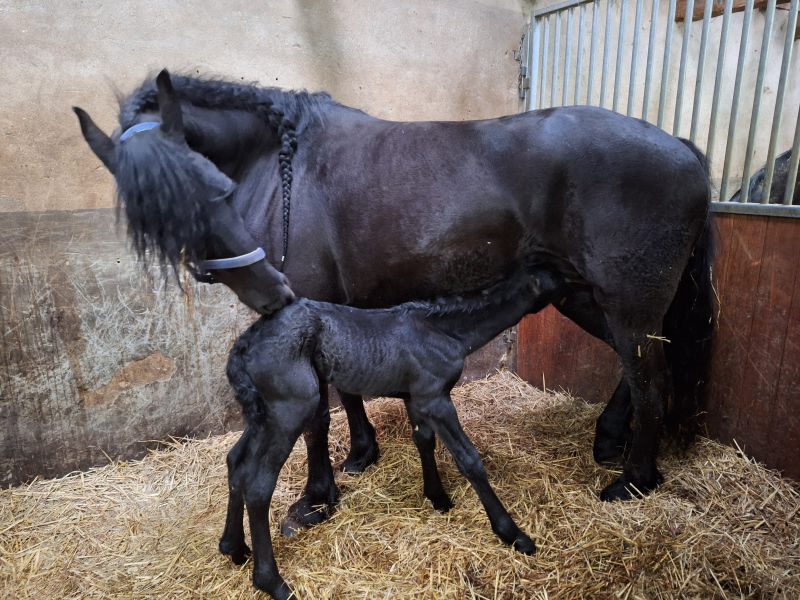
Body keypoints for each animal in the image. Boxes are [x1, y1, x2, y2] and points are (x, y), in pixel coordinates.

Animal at [74, 69, 714, 531]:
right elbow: (350, 390)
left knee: (652, 377)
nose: (268, 290)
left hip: (625, 302)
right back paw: (608, 441)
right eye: (153, 219)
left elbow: (317, 415)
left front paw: (317, 497)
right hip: (586, 296)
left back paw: (633, 479)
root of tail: (681, 146)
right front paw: (362, 454)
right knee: (638, 370)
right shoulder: (335, 309)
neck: (283, 166)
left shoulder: (309, 306)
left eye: (214, 187)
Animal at [223, 268, 565, 597]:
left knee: (237, 462)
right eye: (564, 279)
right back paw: (272, 582)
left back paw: (234, 547)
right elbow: (469, 460)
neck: (444, 330)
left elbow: (424, 441)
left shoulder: (416, 398)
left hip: (262, 415)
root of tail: (243, 347)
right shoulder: (436, 399)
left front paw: (438, 498)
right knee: (258, 484)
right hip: (290, 410)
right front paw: (514, 535)